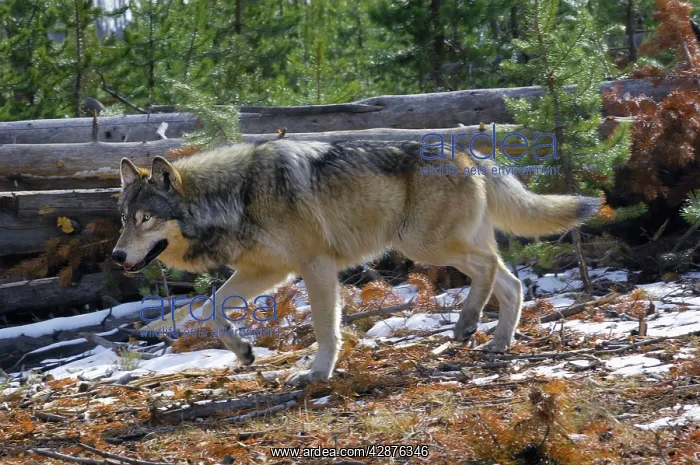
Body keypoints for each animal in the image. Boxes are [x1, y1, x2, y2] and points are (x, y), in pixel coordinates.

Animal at [113, 139, 600, 386]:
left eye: (145, 218)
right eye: (123, 218)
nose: (116, 256)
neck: (236, 196)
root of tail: (467, 151)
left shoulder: (315, 265)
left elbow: (326, 328)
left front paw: (316, 373)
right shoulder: (267, 271)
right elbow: (213, 307)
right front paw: (243, 350)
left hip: (420, 244)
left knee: (491, 269)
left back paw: (466, 325)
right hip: (437, 245)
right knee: (511, 282)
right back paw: (495, 341)